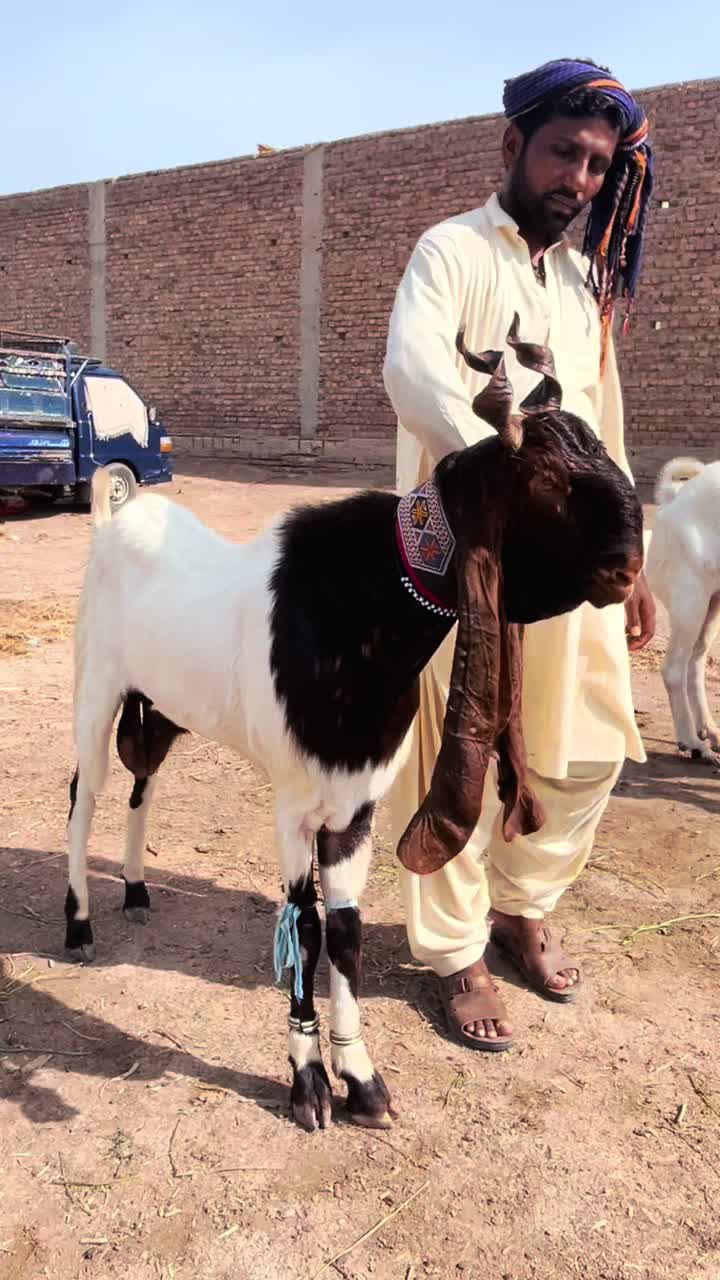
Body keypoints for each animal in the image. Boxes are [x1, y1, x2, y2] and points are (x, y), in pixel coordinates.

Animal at [65, 315, 644, 1132]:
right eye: (548, 479)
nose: (628, 569)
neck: (359, 614)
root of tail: (118, 514)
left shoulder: (358, 803)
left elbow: (346, 932)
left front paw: (362, 1079)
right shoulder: (293, 802)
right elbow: (303, 927)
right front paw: (309, 1083)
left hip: (163, 709)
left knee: (143, 782)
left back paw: (139, 891)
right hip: (97, 689)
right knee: (84, 795)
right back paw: (79, 926)